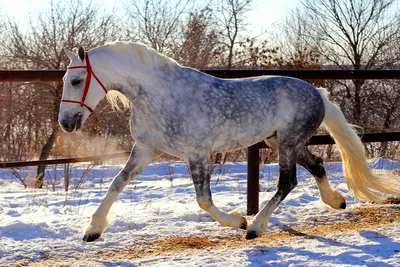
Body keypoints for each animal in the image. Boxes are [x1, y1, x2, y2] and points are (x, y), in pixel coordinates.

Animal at [59, 42, 400, 243]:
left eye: (76, 80)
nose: (65, 123)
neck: (159, 96)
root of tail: (317, 93)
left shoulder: (197, 154)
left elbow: (204, 200)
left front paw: (238, 220)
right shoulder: (146, 150)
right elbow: (117, 183)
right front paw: (92, 230)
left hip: (288, 142)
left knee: (287, 182)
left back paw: (255, 226)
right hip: (279, 142)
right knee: (315, 165)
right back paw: (336, 201)